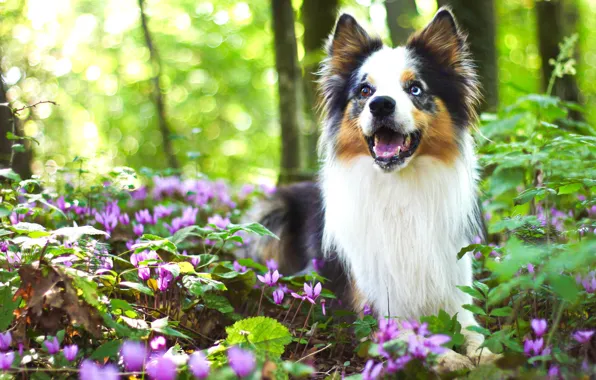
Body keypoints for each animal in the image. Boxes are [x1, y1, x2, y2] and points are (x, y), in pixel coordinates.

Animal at [244, 6, 496, 372]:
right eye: (365, 91)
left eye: (415, 89)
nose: (381, 105)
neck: (400, 188)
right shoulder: (373, 305)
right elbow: (412, 335)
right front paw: (448, 357)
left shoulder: (456, 284)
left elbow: (474, 329)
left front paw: (489, 356)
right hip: (271, 216)